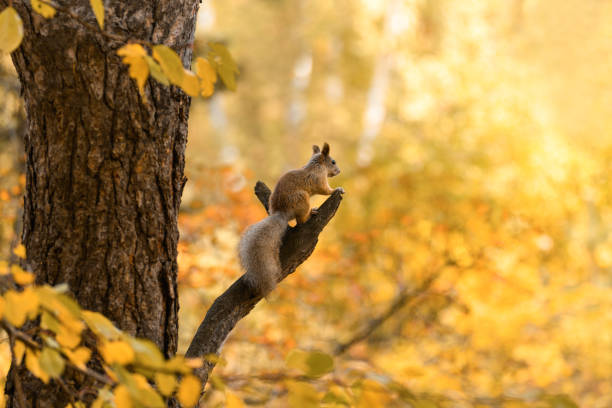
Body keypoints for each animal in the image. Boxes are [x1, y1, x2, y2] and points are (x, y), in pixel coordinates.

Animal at [239, 143, 344, 296]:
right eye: (333, 162)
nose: (339, 171)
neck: (317, 165)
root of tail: (283, 213)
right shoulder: (319, 178)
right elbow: (325, 189)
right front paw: (337, 189)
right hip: (302, 199)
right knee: (301, 221)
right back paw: (311, 213)